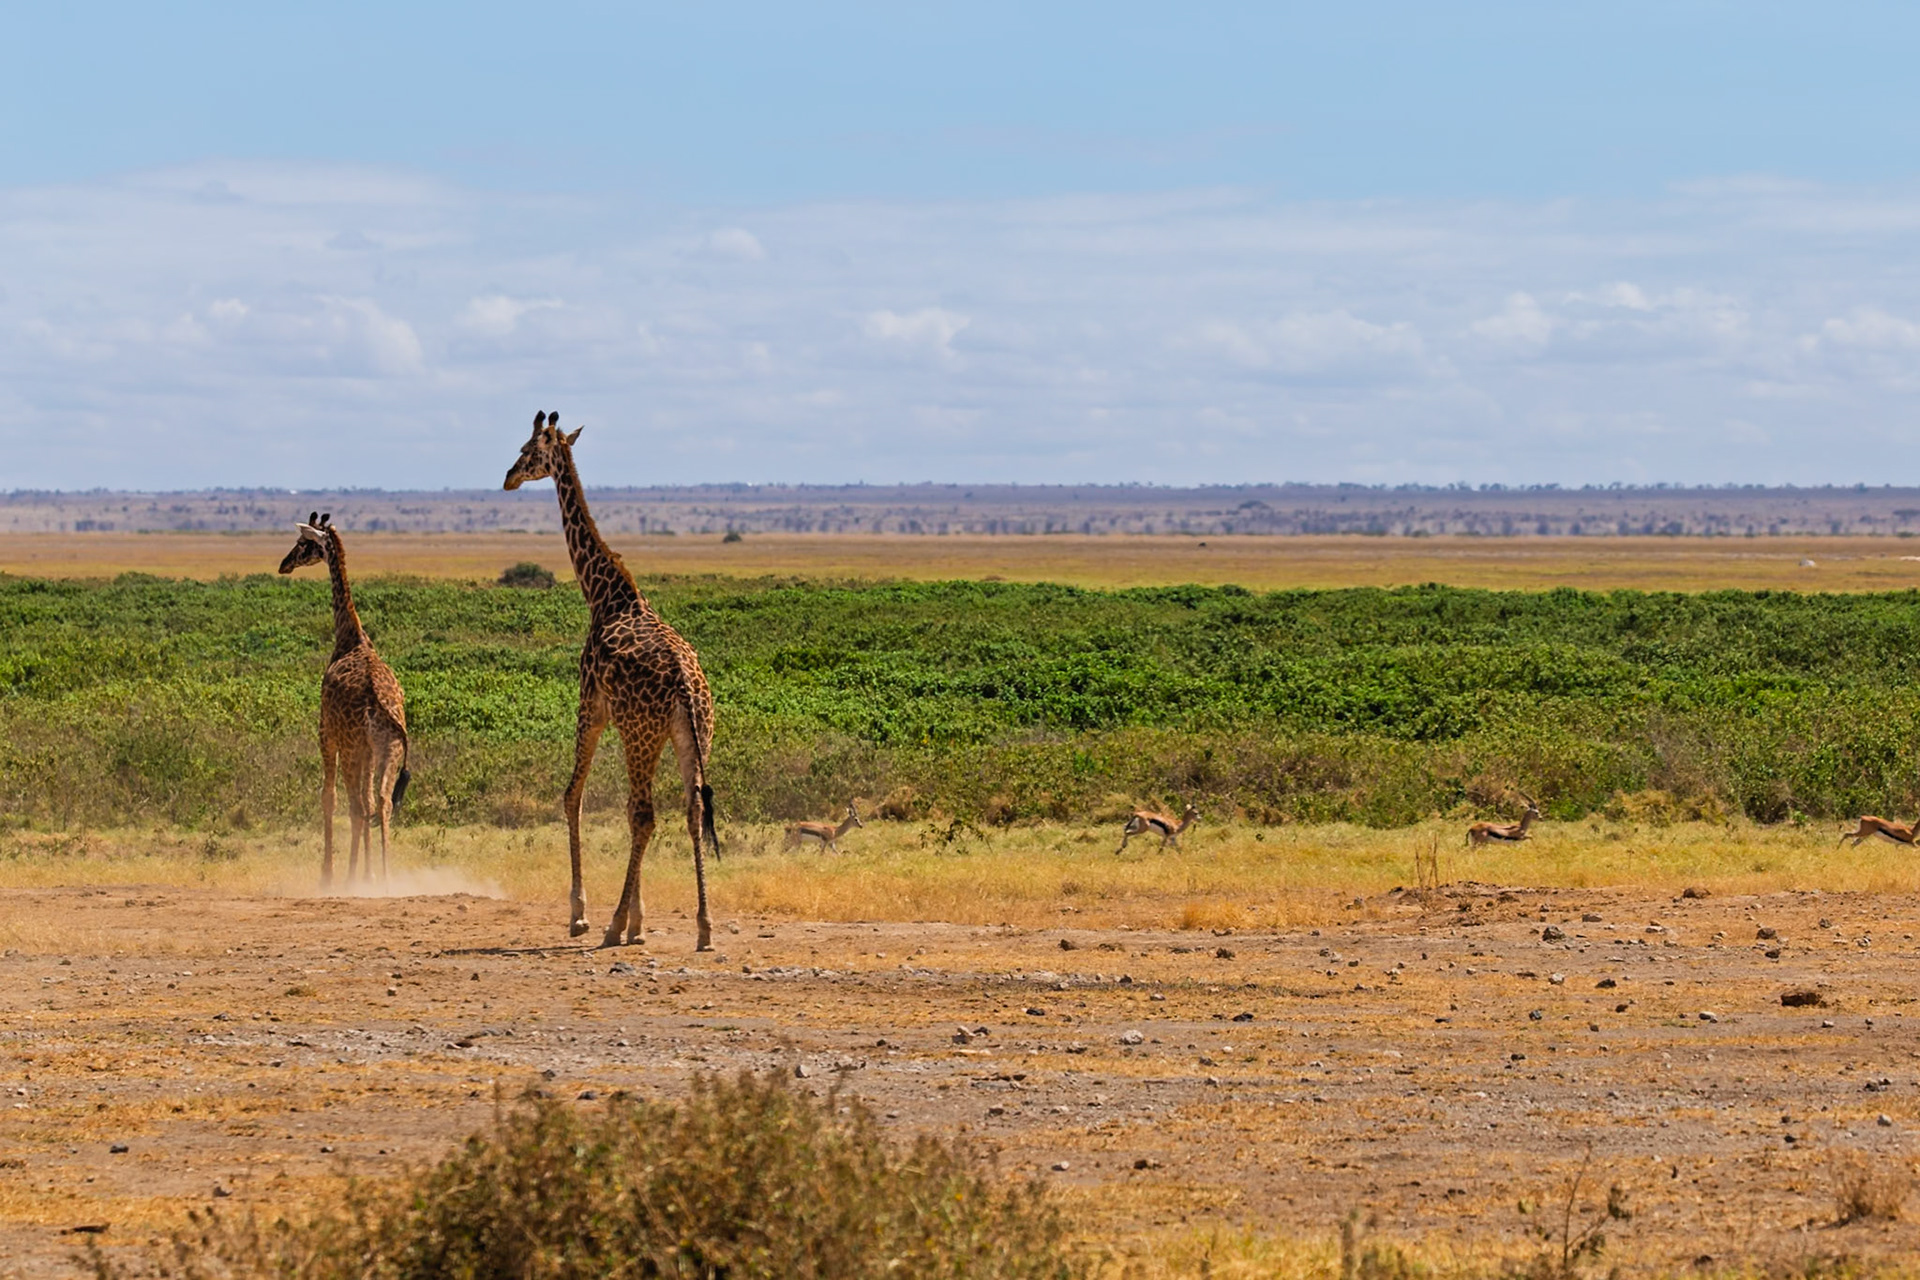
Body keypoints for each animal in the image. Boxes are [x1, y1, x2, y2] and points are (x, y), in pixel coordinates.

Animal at [279, 513, 411, 888]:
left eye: (303, 544)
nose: (283, 564)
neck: (350, 636)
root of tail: (379, 704)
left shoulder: (326, 732)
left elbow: (329, 797)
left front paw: (329, 873)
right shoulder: (368, 750)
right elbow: (367, 802)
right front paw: (368, 872)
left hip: (351, 746)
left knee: (357, 804)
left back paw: (355, 877)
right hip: (388, 747)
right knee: (381, 801)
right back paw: (385, 877)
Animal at [504, 411, 720, 950]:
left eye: (526, 449)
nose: (508, 477)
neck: (603, 594)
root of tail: (687, 688)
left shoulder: (592, 708)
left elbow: (572, 796)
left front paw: (583, 915)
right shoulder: (626, 723)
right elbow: (619, 809)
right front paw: (640, 923)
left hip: (642, 735)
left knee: (645, 815)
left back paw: (611, 924)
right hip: (692, 737)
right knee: (689, 810)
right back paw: (705, 927)